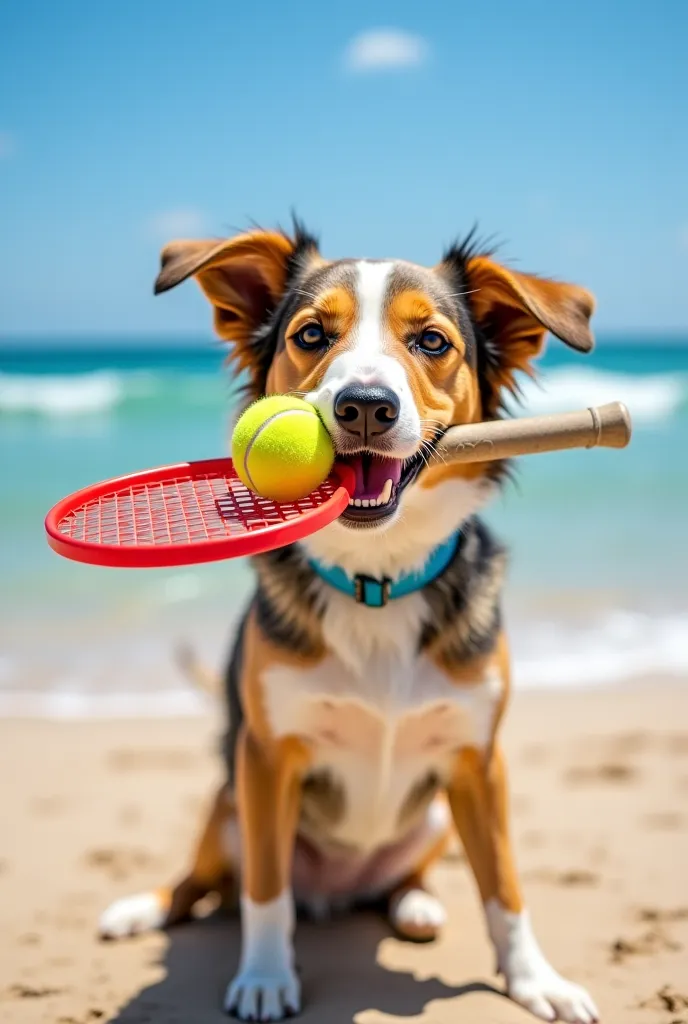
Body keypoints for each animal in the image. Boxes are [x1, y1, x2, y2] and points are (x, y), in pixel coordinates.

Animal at [99, 220, 597, 1019]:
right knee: (203, 883)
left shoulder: (480, 761)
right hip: (225, 800)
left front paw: (535, 980)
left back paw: (416, 904)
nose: (366, 404)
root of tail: (335, 893)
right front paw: (265, 978)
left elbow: (506, 888)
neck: (378, 583)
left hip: (434, 814)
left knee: (406, 878)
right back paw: (142, 907)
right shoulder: (266, 759)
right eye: (311, 333)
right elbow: (264, 889)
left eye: (431, 341)